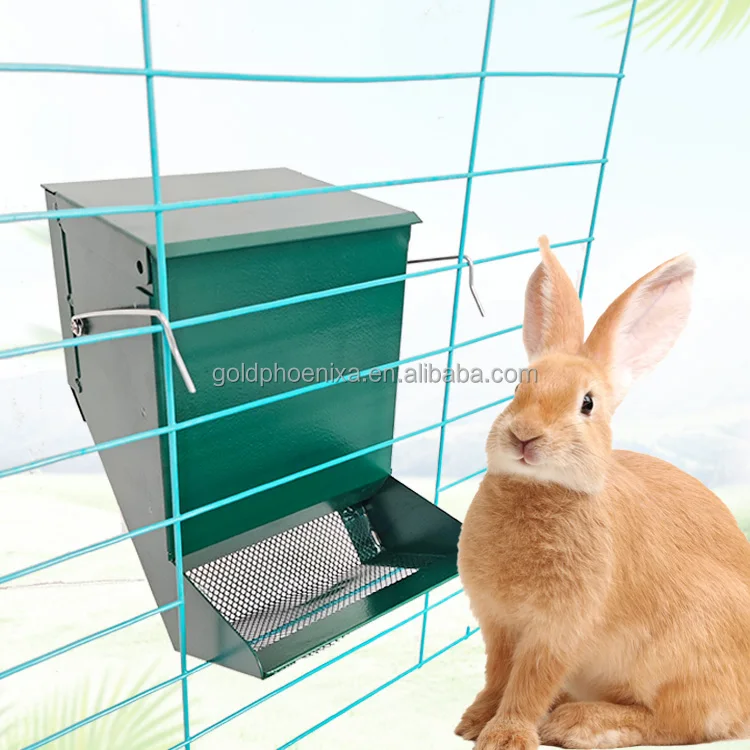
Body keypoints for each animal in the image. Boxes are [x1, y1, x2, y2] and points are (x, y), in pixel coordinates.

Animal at [454, 236, 750, 750]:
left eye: (587, 404)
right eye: (517, 389)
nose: (524, 436)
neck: (539, 488)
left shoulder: (559, 629)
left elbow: (528, 683)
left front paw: (506, 736)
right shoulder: (499, 624)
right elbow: (498, 675)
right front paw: (474, 722)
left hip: (684, 652)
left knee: (684, 720)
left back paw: (580, 722)